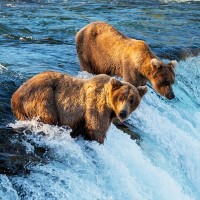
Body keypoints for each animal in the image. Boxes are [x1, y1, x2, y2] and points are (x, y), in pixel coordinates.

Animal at [11, 71, 147, 144]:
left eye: (132, 100)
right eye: (120, 97)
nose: (123, 113)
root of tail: (15, 97)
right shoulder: (96, 106)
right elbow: (96, 129)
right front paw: (99, 140)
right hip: (44, 97)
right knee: (48, 115)